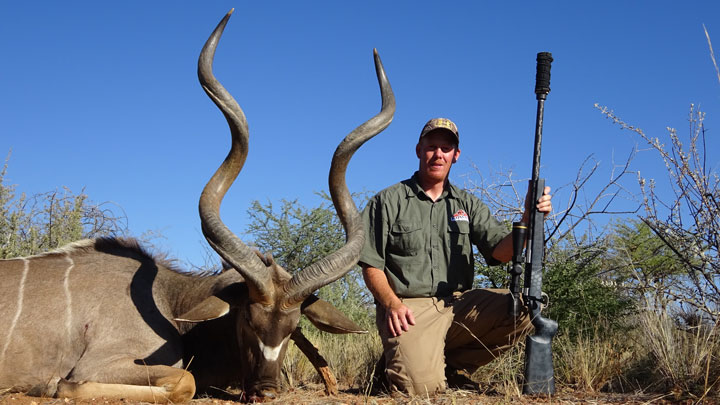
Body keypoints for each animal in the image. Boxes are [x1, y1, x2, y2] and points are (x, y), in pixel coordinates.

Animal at [0, 8, 394, 400]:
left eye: (293, 327)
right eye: (247, 319)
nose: (266, 392)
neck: (170, 301)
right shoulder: (104, 362)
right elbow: (181, 381)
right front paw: (57, 385)